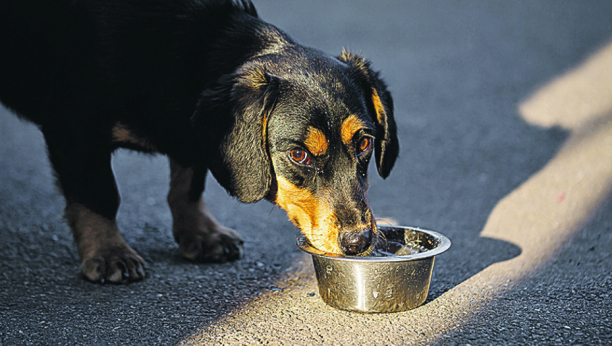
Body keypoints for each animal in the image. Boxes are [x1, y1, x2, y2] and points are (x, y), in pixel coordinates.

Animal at [0, 0, 400, 284]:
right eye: (298, 154)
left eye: (364, 143)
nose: (359, 241)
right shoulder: (75, 127)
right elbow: (99, 195)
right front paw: (109, 252)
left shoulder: (193, 136)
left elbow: (188, 185)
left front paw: (201, 233)